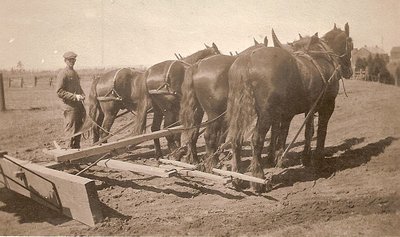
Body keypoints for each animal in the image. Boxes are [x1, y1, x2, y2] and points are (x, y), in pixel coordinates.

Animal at [179, 37, 268, 168]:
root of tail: (197, 66)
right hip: (213, 114)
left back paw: (195, 160)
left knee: (193, 134)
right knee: (209, 136)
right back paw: (213, 162)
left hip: (198, 112)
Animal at [227, 23, 352, 192]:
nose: (349, 71)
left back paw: (237, 178)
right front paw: (318, 159)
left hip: (239, 112)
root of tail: (247, 59)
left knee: (236, 139)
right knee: (257, 140)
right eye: (350, 43)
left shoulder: (303, 109)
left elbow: (301, 132)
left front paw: (298, 157)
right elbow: (321, 131)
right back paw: (258, 178)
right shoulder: (327, 106)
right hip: (265, 114)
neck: (323, 59)